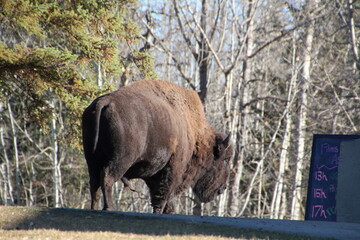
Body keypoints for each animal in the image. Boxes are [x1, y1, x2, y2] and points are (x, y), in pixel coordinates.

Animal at [82, 80, 232, 214]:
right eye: (224, 160)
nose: (223, 188)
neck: (196, 135)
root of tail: (104, 102)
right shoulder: (172, 171)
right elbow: (162, 196)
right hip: (121, 160)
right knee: (107, 177)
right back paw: (109, 208)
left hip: (92, 159)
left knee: (94, 183)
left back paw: (94, 208)